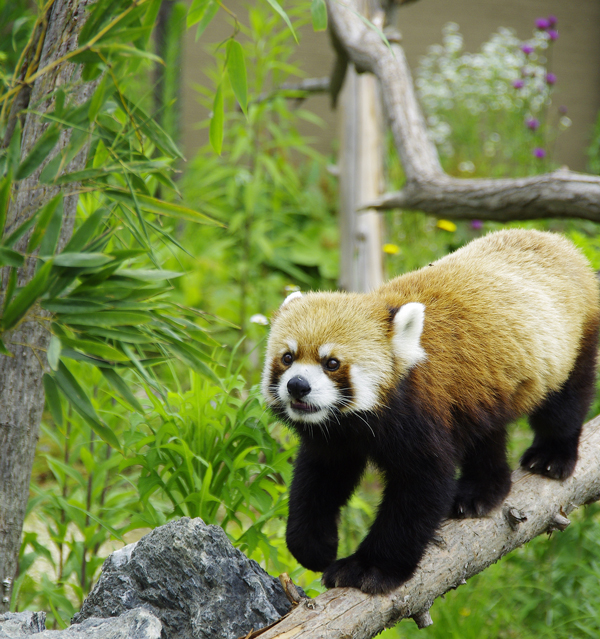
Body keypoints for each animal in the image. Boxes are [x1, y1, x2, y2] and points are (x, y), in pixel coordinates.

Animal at [262, 230, 600, 596]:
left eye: (332, 363)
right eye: (287, 357)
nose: (297, 386)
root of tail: (557, 241)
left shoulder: (418, 414)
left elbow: (419, 491)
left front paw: (369, 569)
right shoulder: (334, 435)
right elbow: (320, 478)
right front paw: (313, 547)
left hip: (571, 343)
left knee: (564, 404)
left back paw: (551, 457)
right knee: (487, 434)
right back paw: (482, 491)